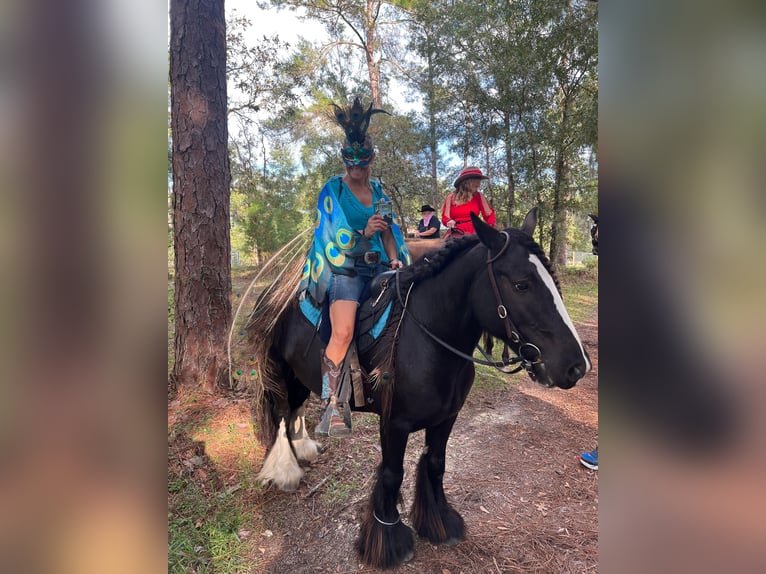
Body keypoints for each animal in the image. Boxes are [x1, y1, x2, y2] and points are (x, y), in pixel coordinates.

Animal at [246, 209, 592, 568]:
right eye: (522, 284)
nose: (576, 365)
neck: (428, 337)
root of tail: (274, 295)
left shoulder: (447, 418)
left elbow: (436, 464)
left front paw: (439, 521)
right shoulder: (393, 423)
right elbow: (391, 474)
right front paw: (388, 541)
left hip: (300, 377)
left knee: (295, 411)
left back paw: (303, 450)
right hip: (281, 373)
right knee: (282, 414)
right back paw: (285, 470)